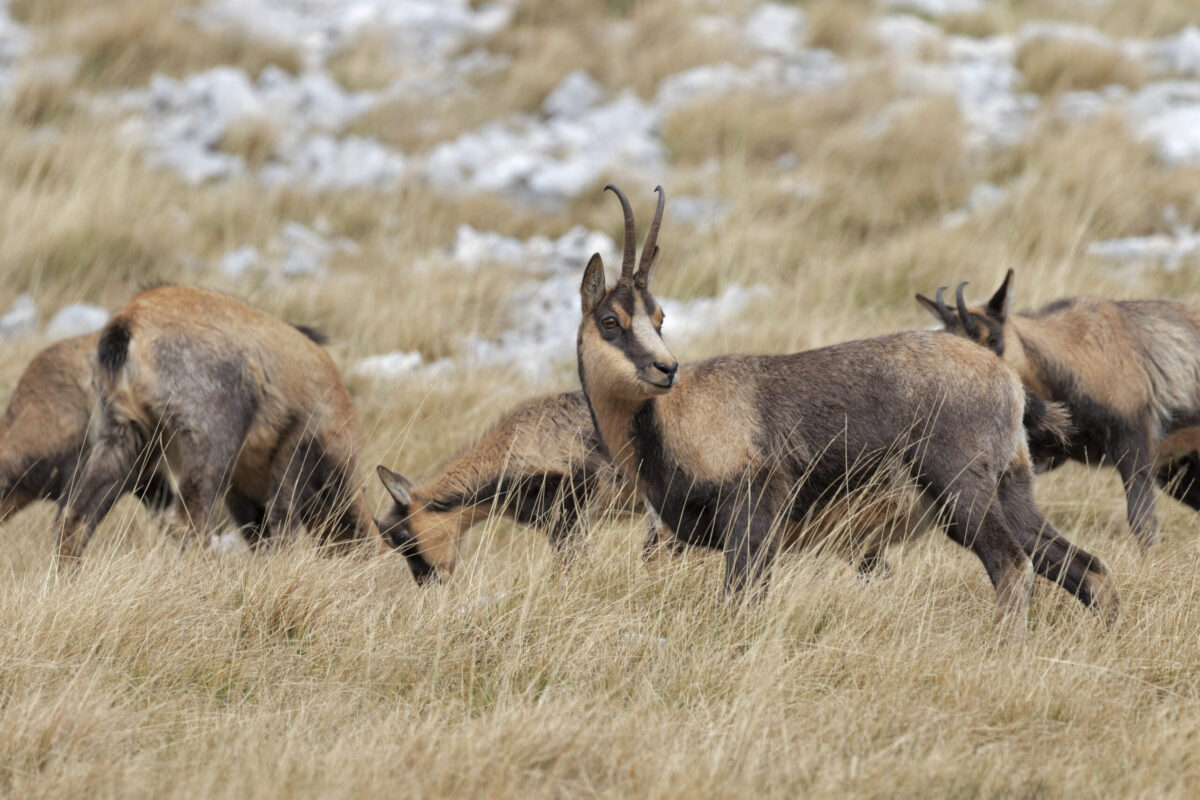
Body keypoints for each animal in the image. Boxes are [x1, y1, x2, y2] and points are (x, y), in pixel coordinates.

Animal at [57, 286, 380, 562]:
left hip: (127, 435)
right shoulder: (295, 446)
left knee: (74, 517)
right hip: (214, 432)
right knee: (189, 522)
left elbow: (262, 534)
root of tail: (129, 323)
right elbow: (282, 524)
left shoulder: (243, 489)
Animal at [576, 185, 1119, 635]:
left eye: (658, 317)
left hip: (962, 489)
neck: (670, 422)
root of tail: (1010, 384)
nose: (666, 368)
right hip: (1013, 489)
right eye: (610, 320)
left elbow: (739, 596)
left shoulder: (754, 509)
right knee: (1085, 566)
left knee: (1011, 565)